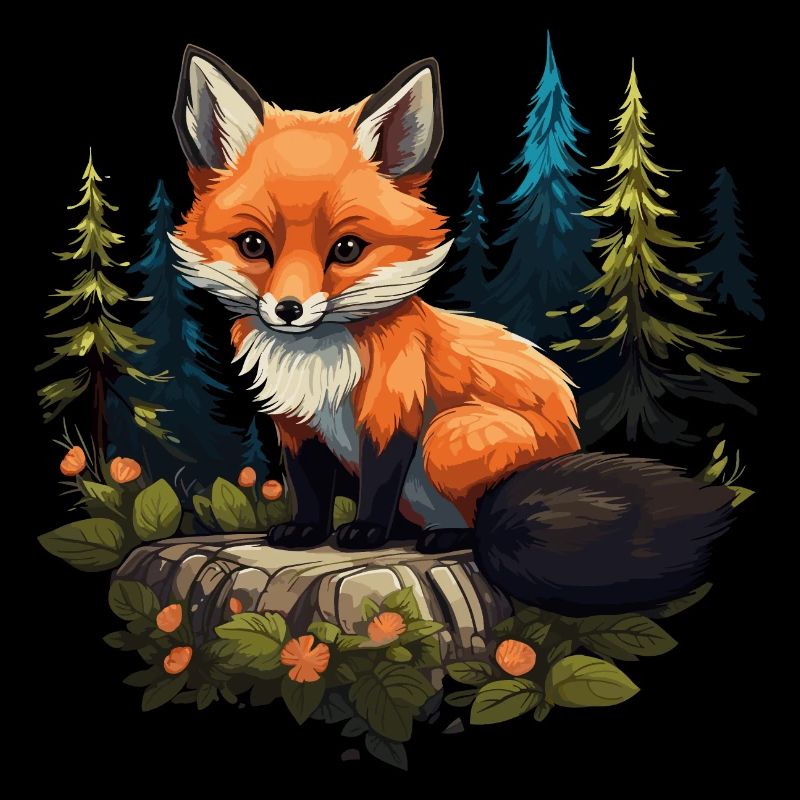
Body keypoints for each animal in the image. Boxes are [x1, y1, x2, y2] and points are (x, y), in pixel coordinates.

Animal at [170, 45, 733, 615]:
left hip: (448, 435)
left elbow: (378, 482)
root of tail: (568, 449)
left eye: (347, 249)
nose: (288, 309)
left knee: (475, 523)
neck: (318, 361)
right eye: (253, 244)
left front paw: (366, 533)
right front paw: (306, 531)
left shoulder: (393, 410)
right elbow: (308, 487)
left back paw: (444, 537)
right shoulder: (296, 424)